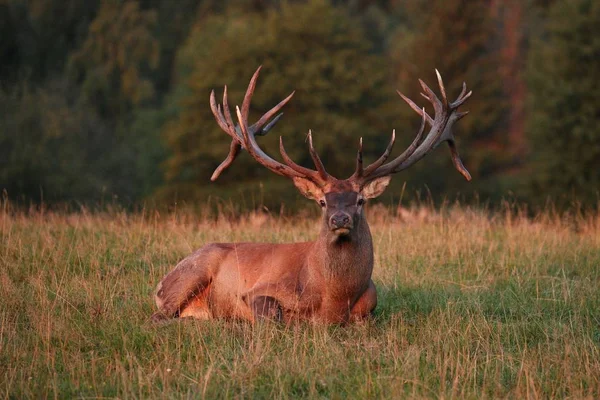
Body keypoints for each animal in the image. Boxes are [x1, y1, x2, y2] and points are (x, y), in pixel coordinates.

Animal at [152, 66, 472, 324]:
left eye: (360, 201)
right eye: (322, 202)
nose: (339, 219)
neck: (333, 299)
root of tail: (159, 284)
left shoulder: (370, 307)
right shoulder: (259, 291)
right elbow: (273, 318)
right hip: (190, 274)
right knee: (159, 316)